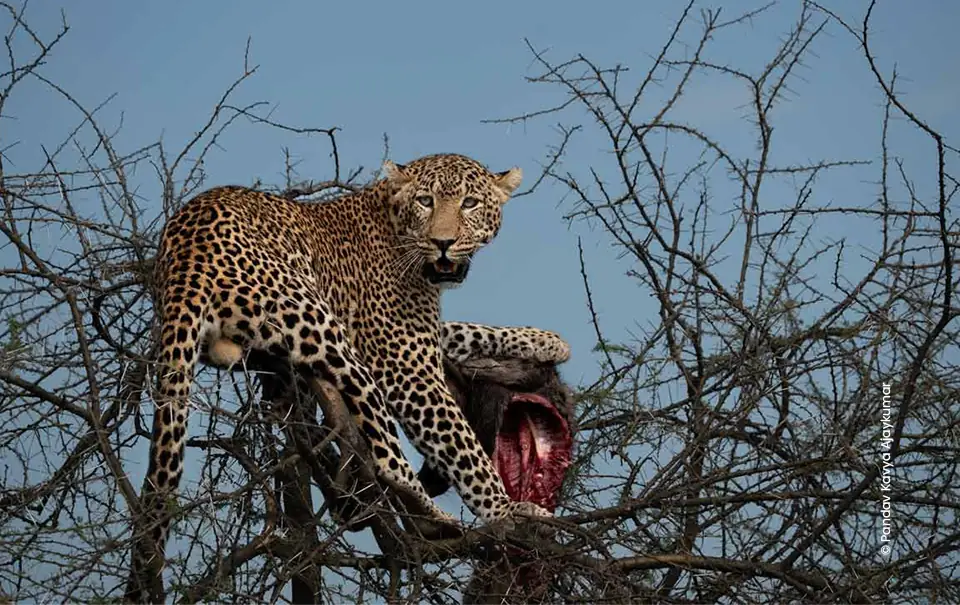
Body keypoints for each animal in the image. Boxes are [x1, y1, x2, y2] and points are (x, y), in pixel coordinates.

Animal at [126, 152, 571, 600]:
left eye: (470, 203)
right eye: (426, 201)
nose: (443, 241)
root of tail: (185, 257)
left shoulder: (417, 334)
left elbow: (464, 329)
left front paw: (547, 341)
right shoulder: (402, 360)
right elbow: (463, 448)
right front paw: (506, 510)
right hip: (320, 323)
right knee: (388, 457)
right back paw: (433, 522)